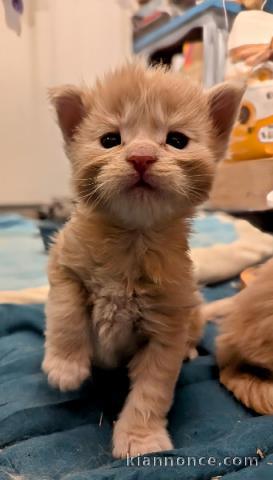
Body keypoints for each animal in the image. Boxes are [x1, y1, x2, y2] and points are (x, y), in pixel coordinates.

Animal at [42, 63, 242, 458]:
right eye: (110, 140)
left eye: (177, 140)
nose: (141, 157)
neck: (133, 238)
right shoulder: (63, 260)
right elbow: (66, 311)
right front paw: (65, 366)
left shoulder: (168, 324)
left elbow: (152, 390)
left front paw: (141, 440)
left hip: (193, 309)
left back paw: (190, 351)